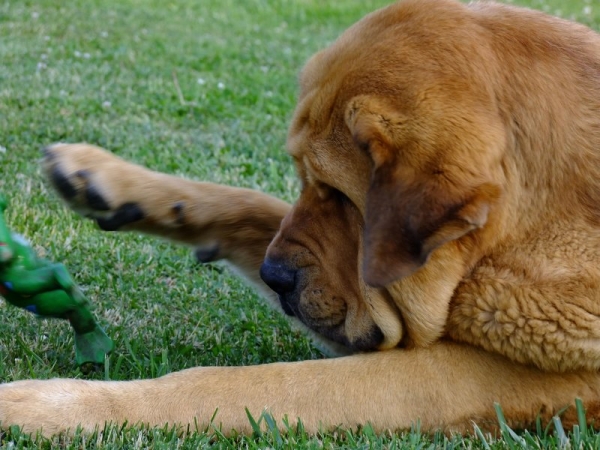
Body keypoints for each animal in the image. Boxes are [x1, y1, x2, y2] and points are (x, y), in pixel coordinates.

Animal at [1, 0, 600, 438]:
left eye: (343, 196)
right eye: (310, 183)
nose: (276, 278)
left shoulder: (469, 377)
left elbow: (234, 386)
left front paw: (49, 403)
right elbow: (250, 203)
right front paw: (108, 179)